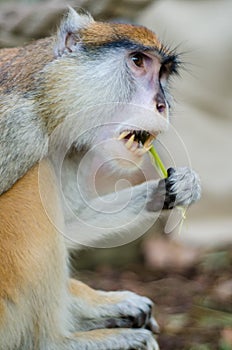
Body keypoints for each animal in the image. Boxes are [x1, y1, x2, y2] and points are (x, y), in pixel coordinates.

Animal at [0, 8, 200, 350]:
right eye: (137, 61)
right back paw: (54, 339)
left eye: (163, 72)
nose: (162, 105)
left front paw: (171, 190)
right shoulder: (18, 127)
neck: (48, 100)